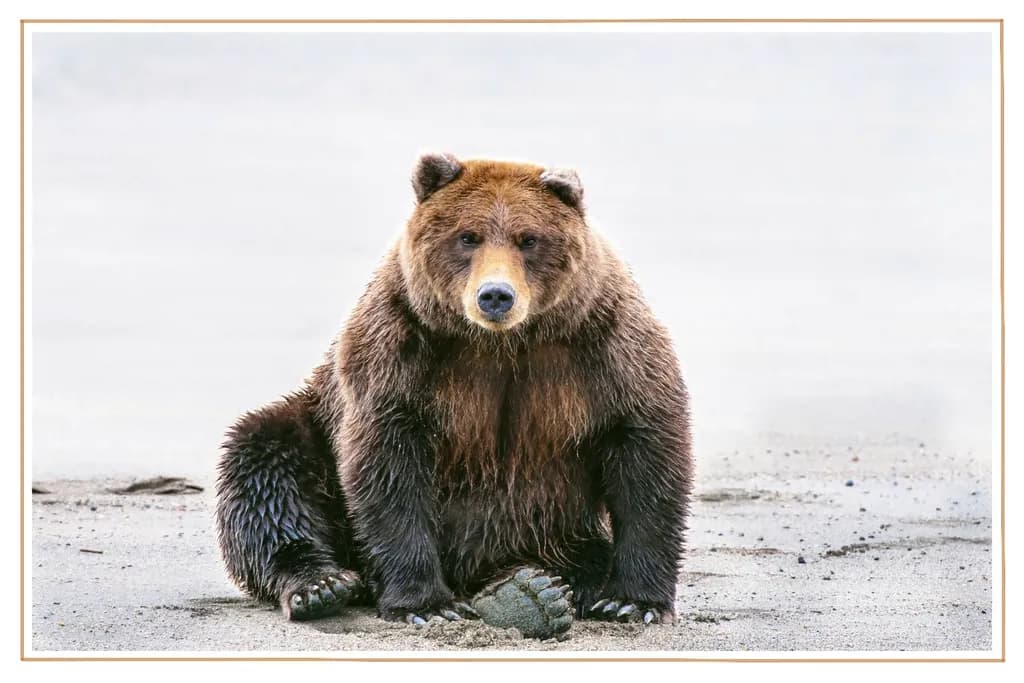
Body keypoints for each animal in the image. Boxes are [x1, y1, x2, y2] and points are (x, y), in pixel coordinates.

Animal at [214, 153, 694, 640]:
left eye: (529, 239)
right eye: (468, 236)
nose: (496, 295)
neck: (503, 343)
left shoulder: (604, 348)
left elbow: (645, 455)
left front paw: (633, 601)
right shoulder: (401, 350)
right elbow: (389, 466)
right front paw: (425, 604)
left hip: (556, 526)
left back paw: (534, 592)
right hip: (312, 429)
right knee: (266, 465)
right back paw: (321, 585)